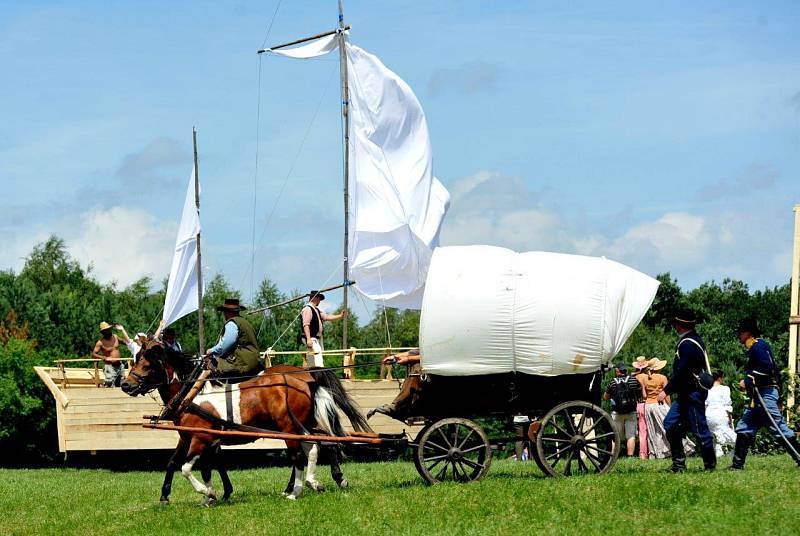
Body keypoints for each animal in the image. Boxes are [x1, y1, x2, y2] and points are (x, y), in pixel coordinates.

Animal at [120, 344, 370, 502]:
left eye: (147, 365)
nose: (125, 384)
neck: (193, 393)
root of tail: (305, 378)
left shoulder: (201, 438)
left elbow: (188, 468)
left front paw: (208, 493)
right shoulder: (190, 437)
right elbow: (182, 463)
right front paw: (170, 495)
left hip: (289, 428)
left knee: (302, 454)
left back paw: (297, 490)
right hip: (302, 426)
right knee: (315, 447)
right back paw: (312, 482)